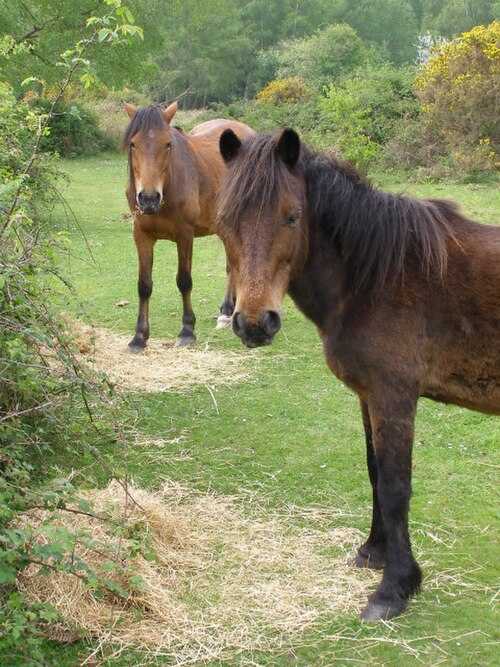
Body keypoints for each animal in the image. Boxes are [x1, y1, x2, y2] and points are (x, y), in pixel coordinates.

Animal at [121, 102, 254, 352]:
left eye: (167, 143)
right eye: (133, 143)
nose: (149, 198)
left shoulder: (185, 234)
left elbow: (184, 281)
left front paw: (187, 331)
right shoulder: (141, 235)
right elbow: (144, 285)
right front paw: (139, 337)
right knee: (232, 264)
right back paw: (226, 310)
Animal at [217, 129, 498, 620]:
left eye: (292, 216)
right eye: (225, 220)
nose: (253, 323)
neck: (376, 277)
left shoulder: (394, 397)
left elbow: (394, 486)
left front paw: (394, 589)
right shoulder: (369, 395)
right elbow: (374, 472)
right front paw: (374, 553)